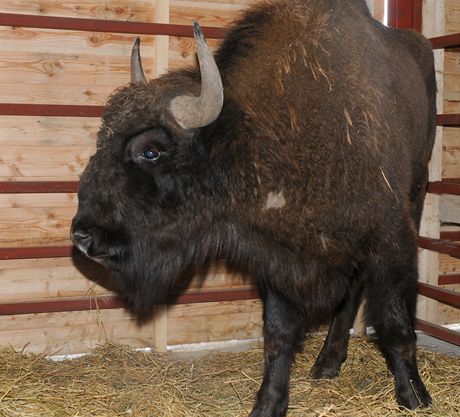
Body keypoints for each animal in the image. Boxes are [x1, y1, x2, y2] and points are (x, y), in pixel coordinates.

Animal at [71, 0, 434, 412]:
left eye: (151, 150)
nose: (84, 236)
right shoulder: (278, 257)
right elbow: (277, 335)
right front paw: (268, 404)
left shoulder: (390, 240)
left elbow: (394, 324)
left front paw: (415, 397)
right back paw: (327, 363)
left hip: (416, 194)